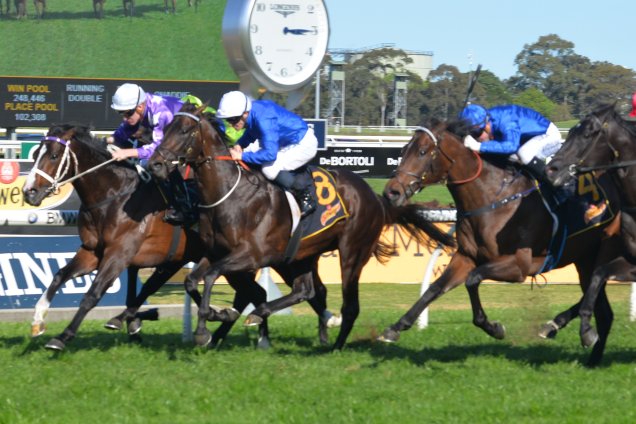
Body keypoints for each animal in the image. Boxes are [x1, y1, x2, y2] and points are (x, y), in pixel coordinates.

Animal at [544, 104, 636, 350]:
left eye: (587, 134)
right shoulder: (630, 261)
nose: (551, 170)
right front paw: (586, 330)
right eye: (571, 132)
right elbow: (598, 275)